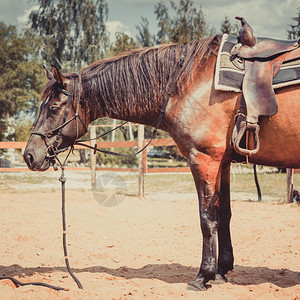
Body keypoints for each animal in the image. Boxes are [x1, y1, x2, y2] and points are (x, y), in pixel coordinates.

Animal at [23, 35, 300, 290]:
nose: (29, 155)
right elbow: (224, 215)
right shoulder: (222, 162)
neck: (187, 81)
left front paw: (203, 276)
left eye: (54, 108)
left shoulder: (204, 158)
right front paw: (221, 271)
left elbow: (207, 218)